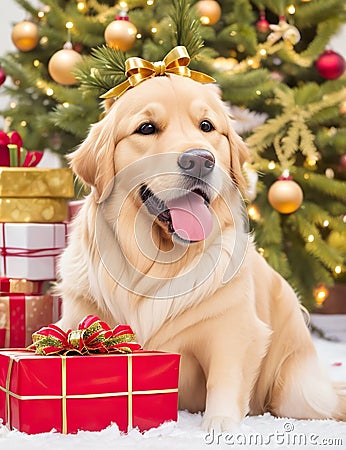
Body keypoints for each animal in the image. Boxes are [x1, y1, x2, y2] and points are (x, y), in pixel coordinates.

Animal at [57, 72, 346, 430]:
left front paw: (220, 423)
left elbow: (225, 377)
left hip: (296, 391)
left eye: (206, 126)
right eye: (146, 128)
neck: (159, 259)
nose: (199, 160)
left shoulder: (232, 328)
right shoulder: (77, 313)